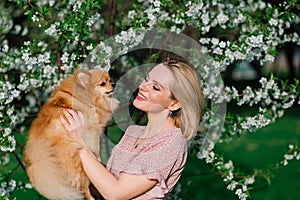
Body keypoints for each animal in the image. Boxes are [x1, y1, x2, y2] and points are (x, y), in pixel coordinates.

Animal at [22, 68, 119, 199]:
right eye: (103, 83)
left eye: (109, 79)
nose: (113, 83)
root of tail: (37, 157)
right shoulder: (93, 129)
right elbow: (96, 146)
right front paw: (97, 157)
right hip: (77, 163)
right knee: (82, 188)